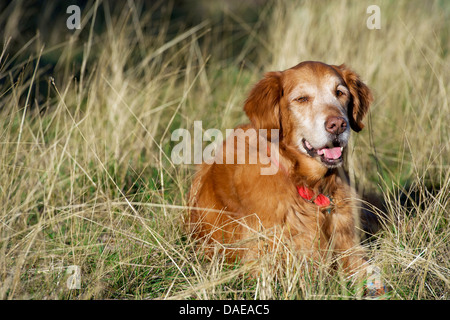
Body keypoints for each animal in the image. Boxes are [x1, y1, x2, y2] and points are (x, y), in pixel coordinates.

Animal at [188, 60, 382, 290]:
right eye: (302, 99)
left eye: (340, 93)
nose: (337, 125)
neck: (310, 186)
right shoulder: (263, 266)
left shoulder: (351, 249)